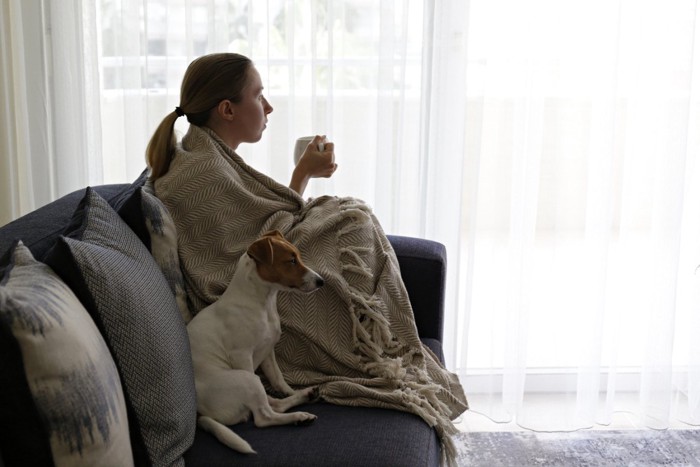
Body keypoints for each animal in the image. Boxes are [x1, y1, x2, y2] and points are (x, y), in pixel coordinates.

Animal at [187, 230, 326, 454]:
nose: (321, 281)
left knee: (274, 404)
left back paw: (306, 395)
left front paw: (292, 390)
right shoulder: (242, 355)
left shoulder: (268, 351)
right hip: (248, 379)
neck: (263, 303)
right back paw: (299, 417)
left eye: (298, 257)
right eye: (291, 260)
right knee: (264, 416)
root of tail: (200, 415)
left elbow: (278, 380)